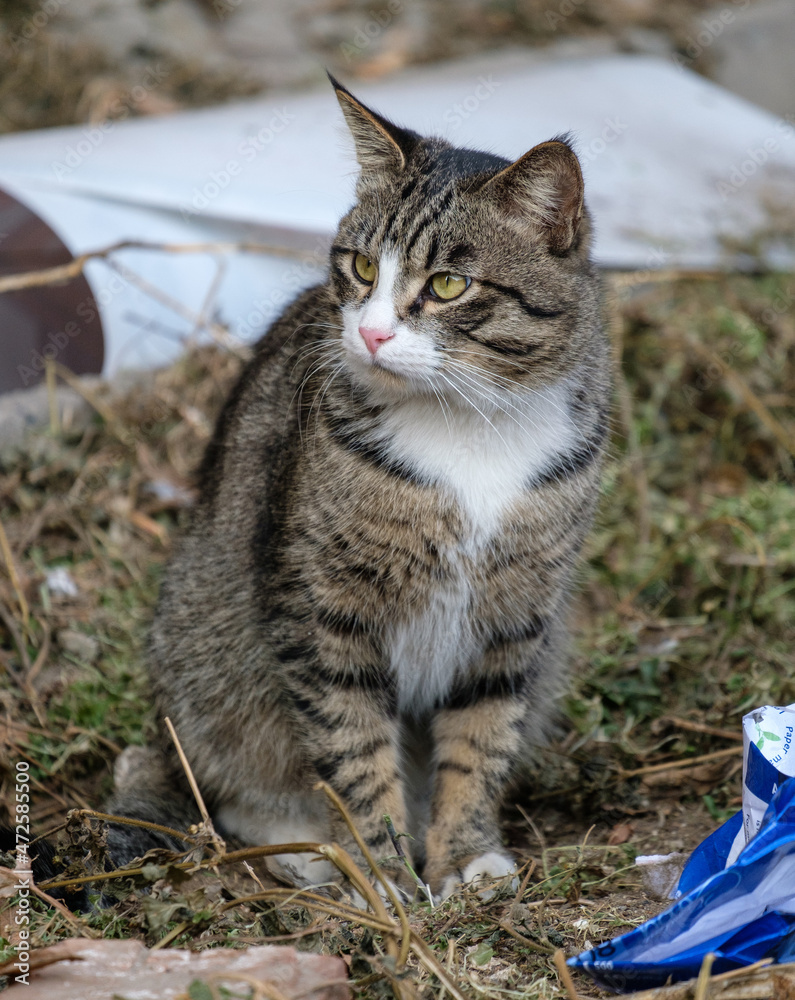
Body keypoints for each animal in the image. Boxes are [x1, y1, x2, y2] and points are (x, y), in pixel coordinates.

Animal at [109, 78, 612, 904]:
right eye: (361, 268)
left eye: (447, 285)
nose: (371, 335)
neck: (467, 424)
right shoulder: (320, 610)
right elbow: (351, 744)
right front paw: (378, 872)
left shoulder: (514, 618)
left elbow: (480, 738)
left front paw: (463, 856)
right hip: (202, 643)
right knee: (230, 779)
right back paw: (306, 849)